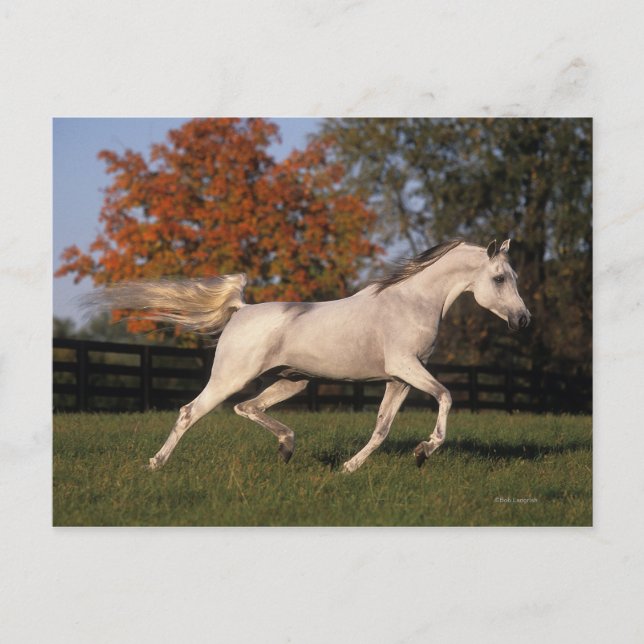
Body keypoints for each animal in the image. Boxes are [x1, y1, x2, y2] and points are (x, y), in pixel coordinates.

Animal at [95, 238, 530, 473]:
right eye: (498, 278)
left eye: (514, 277)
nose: (523, 319)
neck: (411, 301)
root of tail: (240, 309)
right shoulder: (406, 367)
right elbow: (446, 396)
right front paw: (424, 450)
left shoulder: (399, 379)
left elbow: (382, 428)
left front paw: (350, 468)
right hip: (230, 378)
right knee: (190, 412)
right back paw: (155, 464)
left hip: (293, 381)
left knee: (248, 408)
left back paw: (287, 447)